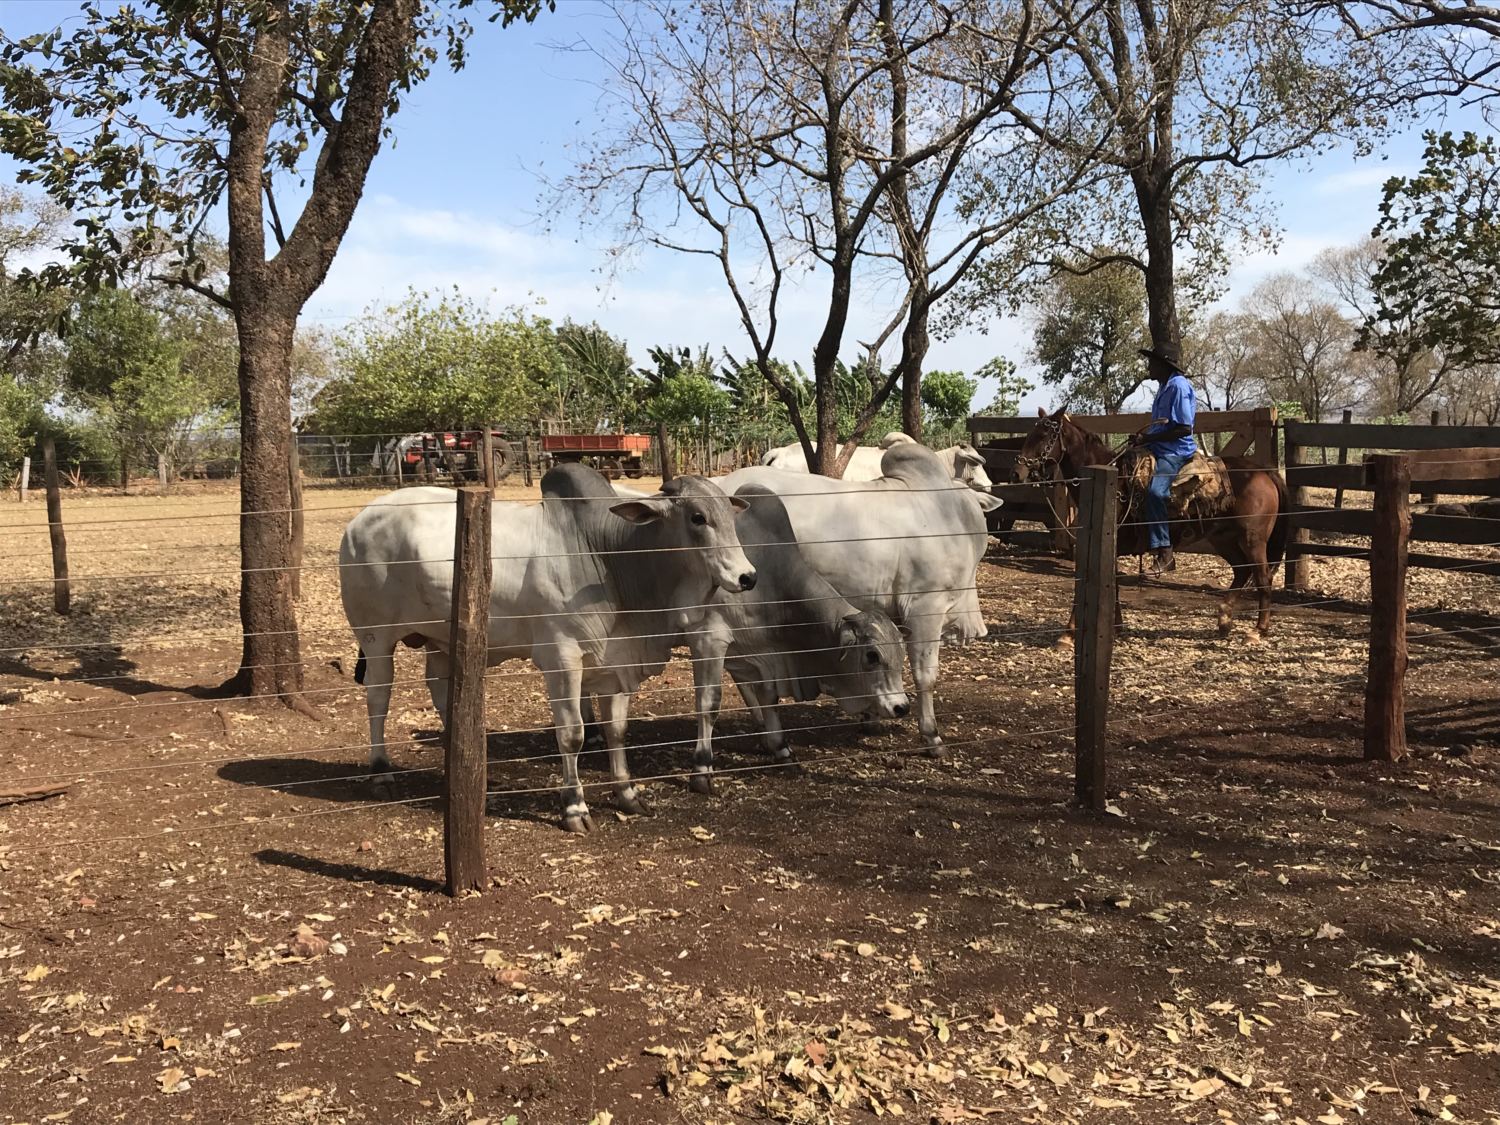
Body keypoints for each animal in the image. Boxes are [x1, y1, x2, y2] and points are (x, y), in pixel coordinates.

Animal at [343, 462, 756, 834]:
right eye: (698, 518)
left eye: (729, 515)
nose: (747, 577)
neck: (607, 556)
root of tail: (359, 520)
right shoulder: (562, 658)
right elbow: (572, 734)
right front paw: (574, 808)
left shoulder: (617, 663)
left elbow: (617, 730)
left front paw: (627, 794)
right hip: (376, 638)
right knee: (378, 696)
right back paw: (381, 771)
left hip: (443, 642)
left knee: (442, 691)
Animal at [1014, 411, 1296, 639]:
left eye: (1043, 435)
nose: (1017, 472)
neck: (1113, 483)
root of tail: (1264, 471)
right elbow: (1113, 584)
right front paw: (1116, 626)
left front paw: (1068, 634)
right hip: (1224, 538)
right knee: (1242, 570)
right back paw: (1224, 619)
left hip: (1252, 540)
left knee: (1262, 578)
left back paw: (1257, 630)